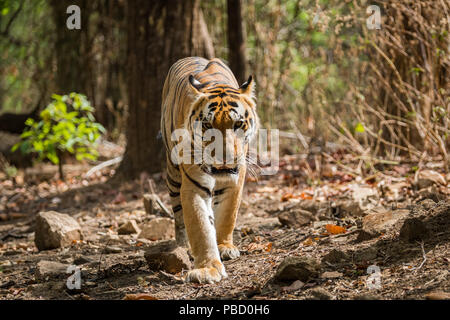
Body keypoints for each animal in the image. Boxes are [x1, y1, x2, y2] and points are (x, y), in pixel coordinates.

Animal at [160, 57, 258, 282]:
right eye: (207, 124)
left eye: (238, 124)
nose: (224, 157)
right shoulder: (193, 185)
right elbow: (200, 227)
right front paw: (207, 269)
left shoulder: (235, 180)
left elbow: (227, 215)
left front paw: (224, 247)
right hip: (173, 175)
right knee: (179, 216)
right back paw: (183, 247)